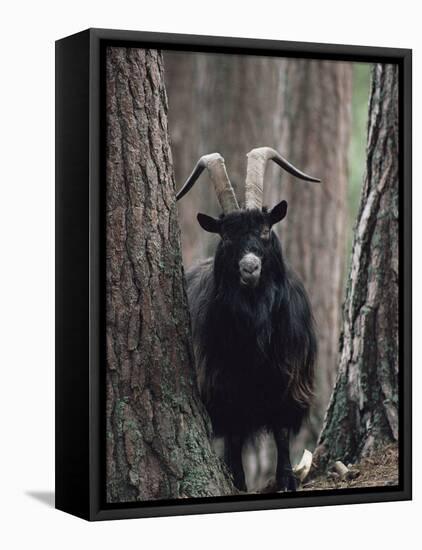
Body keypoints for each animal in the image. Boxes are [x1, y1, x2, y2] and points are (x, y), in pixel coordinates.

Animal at [176, 149, 318, 494]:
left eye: (266, 230)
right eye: (226, 236)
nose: (250, 267)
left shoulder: (287, 380)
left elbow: (281, 432)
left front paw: (287, 480)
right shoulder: (223, 385)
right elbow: (234, 436)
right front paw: (237, 482)